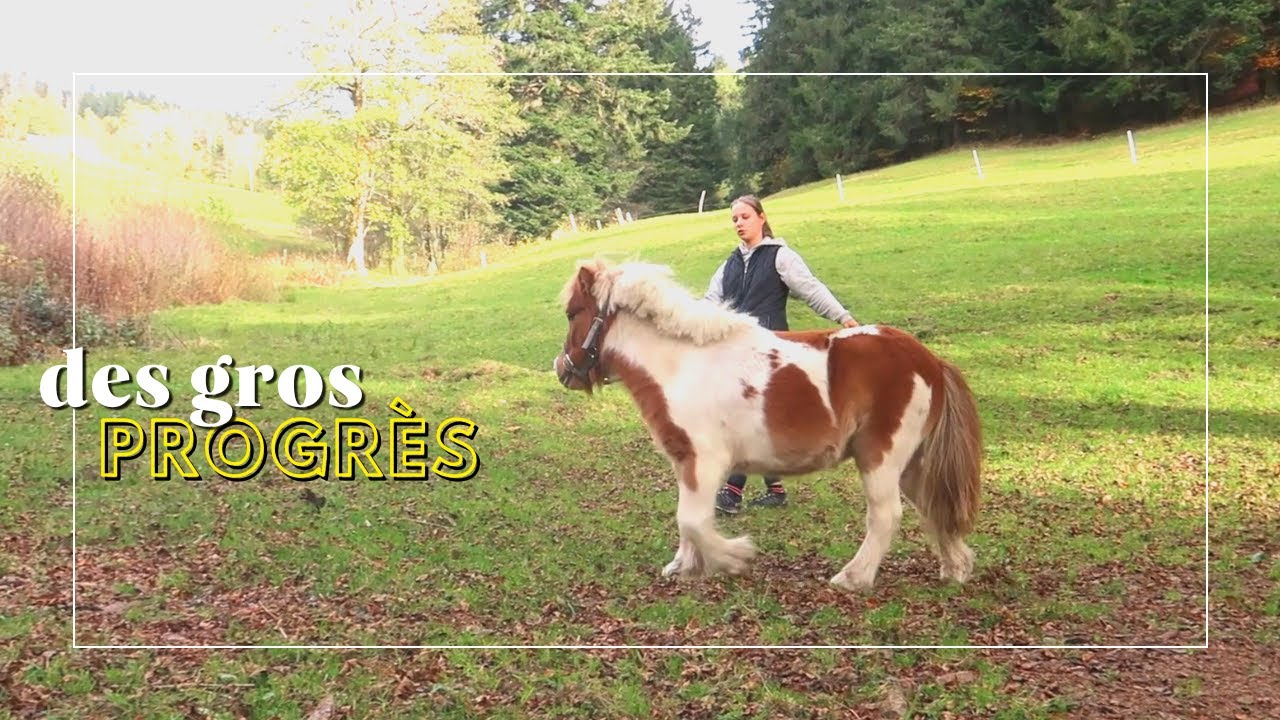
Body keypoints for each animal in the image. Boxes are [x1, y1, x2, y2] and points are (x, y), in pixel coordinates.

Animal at [553, 257, 982, 590]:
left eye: (573, 313)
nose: (562, 369)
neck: (680, 366)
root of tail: (929, 359)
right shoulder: (685, 461)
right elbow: (685, 518)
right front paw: (684, 565)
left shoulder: (706, 460)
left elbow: (692, 520)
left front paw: (735, 556)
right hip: (912, 461)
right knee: (934, 505)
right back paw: (956, 568)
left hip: (881, 456)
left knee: (886, 515)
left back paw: (853, 578)